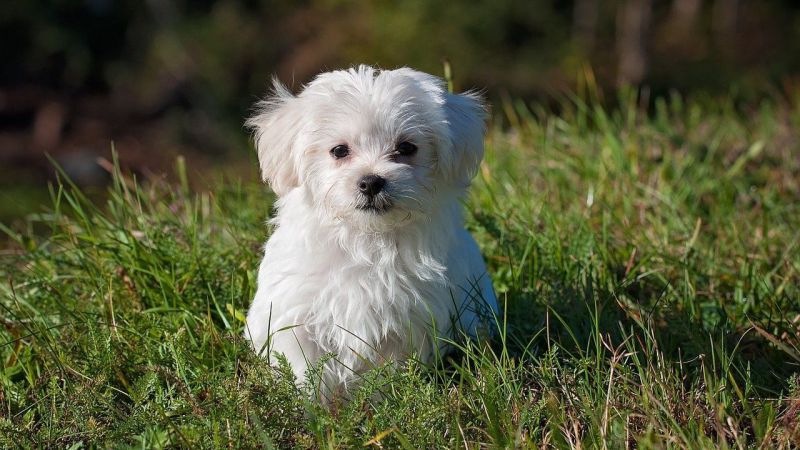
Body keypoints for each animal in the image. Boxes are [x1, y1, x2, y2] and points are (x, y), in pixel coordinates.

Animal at [244, 66, 496, 398]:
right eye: (339, 151)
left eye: (406, 148)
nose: (371, 181)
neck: (366, 238)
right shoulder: (295, 315)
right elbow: (304, 368)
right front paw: (311, 406)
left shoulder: (406, 322)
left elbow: (388, 371)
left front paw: (383, 401)